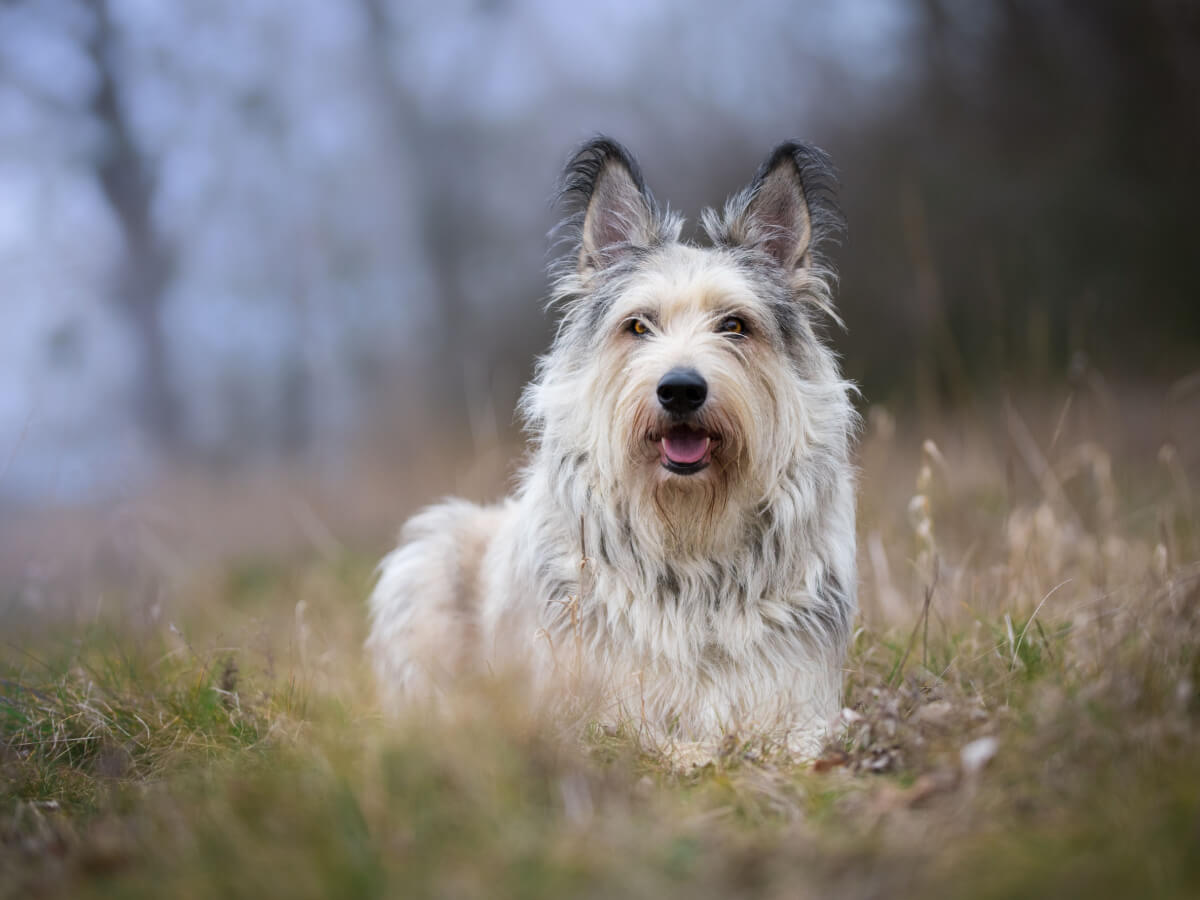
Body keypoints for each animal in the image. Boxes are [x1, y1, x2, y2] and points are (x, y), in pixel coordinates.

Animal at [369, 137, 859, 758]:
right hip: (429, 554)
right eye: (639, 326)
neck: (689, 534)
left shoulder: (798, 701)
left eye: (734, 325)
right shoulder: (595, 706)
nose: (680, 389)